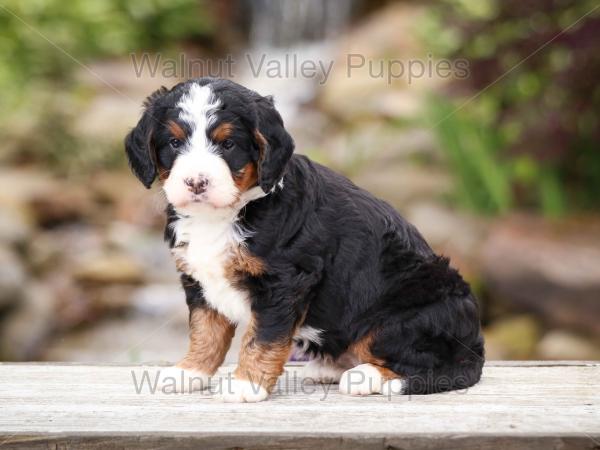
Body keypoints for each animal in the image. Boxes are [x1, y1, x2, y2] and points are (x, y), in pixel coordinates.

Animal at [124, 76, 486, 400]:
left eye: (228, 144)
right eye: (174, 143)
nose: (197, 182)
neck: (227, 214)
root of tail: (474, 343)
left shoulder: (283, 281)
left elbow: (262, 338)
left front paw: (246, 385)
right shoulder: (199, 281)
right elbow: (205, 331)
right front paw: (189, 373)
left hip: (402, 317)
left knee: (437, 366)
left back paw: (366, 377)